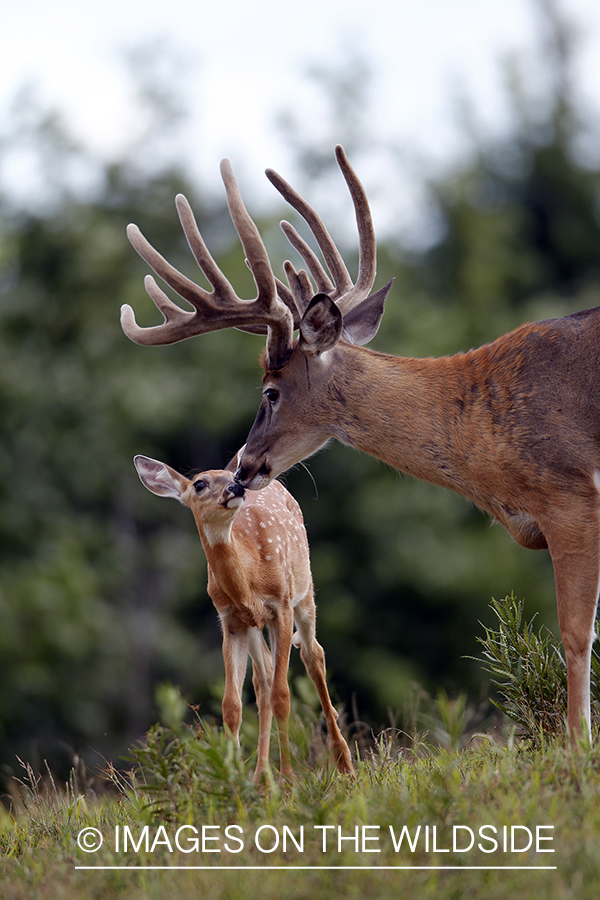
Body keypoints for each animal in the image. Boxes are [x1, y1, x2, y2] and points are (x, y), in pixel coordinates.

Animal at [133, 452, 353, 783]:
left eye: (230, 476)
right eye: (199, 484)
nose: (236, 487)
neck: (250, 578)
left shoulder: (281, 605)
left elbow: (282, 695)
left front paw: (288, 779)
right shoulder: (231, 621)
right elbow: (232, 705)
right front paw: (234, 778)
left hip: (304, 589)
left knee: (313, 655)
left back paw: (343, 762)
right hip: (253, 625)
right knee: (262, 681)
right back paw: (261, 776)